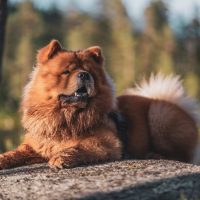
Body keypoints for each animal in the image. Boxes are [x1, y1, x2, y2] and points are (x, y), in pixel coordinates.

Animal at [0, 39, 200, 170]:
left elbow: (78, 147)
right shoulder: (34, 146)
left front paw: (60, 158)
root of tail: (183, 108)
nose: (84, 74)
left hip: (159, 114)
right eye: (66, 71)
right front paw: (3, 159)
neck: (65, 118)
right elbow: (14, 153)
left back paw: (154, 155)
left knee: (182, 155)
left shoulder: (107, 142)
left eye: (89, 72)